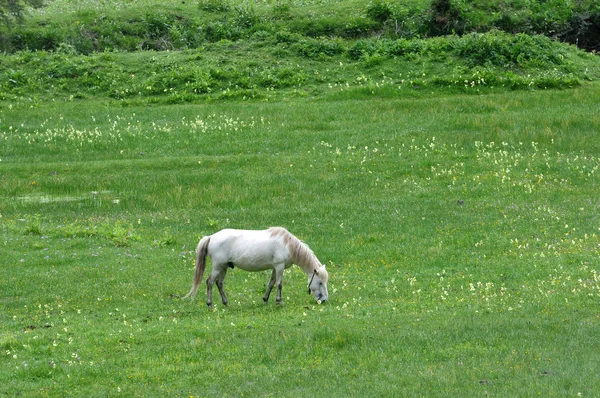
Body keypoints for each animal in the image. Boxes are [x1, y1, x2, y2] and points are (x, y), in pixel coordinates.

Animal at [185, 227, 330, 308]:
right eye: (320, 282)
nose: (324, 300)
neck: (288, 245)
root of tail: (211, 237)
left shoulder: (275, 268)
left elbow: (271, 283)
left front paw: (265, 300)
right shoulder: (279, 266)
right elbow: (279, 284)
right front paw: (279, 302)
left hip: (224, 267)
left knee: (219, 283)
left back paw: (226, 303)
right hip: (218, 266)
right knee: (209, 282)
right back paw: (209, 304)